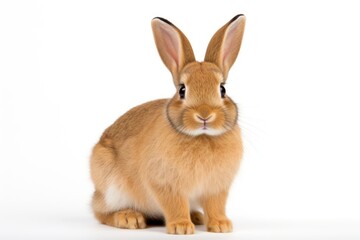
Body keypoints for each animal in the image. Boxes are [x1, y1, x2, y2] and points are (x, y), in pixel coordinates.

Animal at [91, 13, 246, 234]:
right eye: (182, 90)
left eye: (222, 89)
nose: (204, 115)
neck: (202, 137)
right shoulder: (165, 184)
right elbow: (175, 204)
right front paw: (181, 227)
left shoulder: (216, 188)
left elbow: (215, 205)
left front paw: (221, 225)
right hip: (112, 188)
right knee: (100, 212)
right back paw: (129, 218)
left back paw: (196, 216)